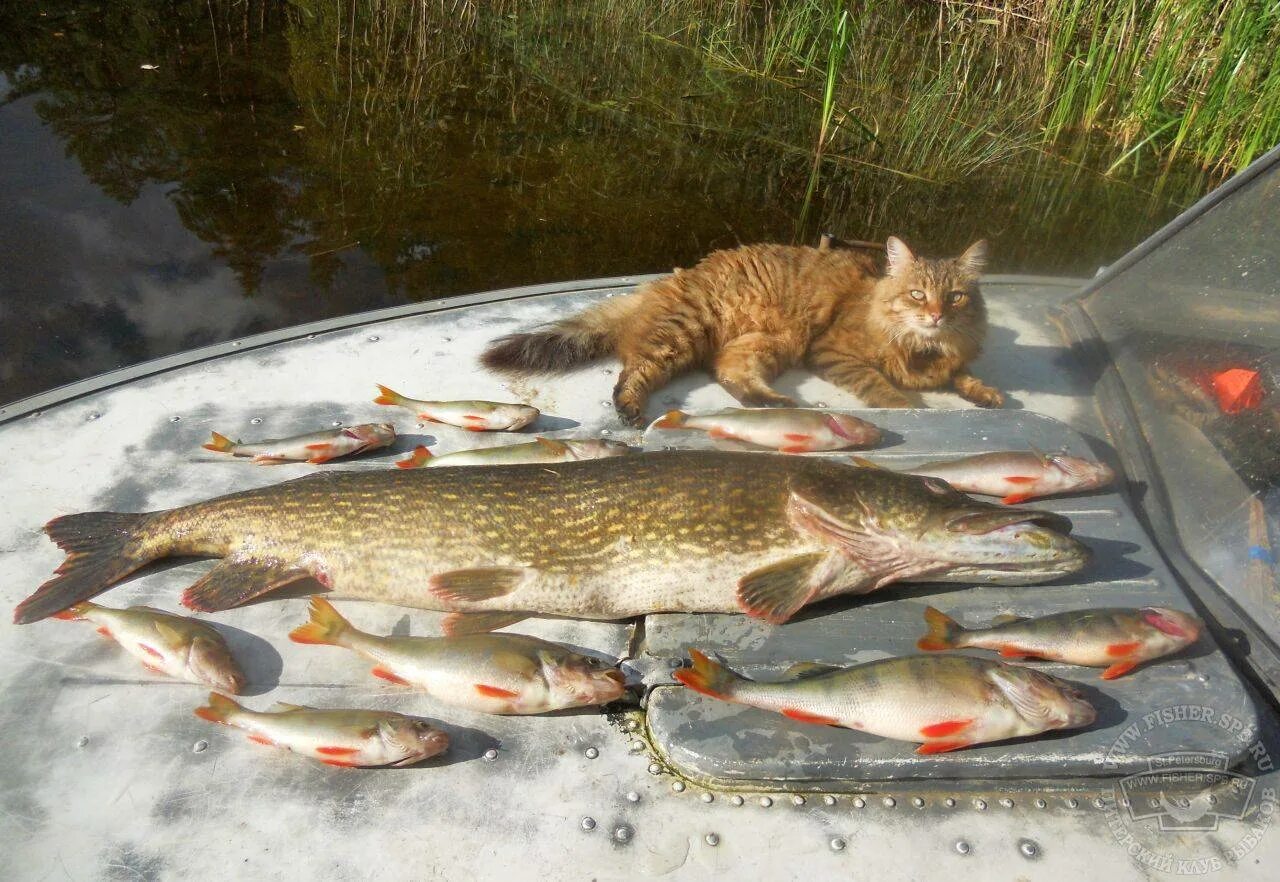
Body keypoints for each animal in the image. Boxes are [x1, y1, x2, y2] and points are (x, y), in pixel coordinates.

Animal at [481, 236, 998, 422]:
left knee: (729, 373)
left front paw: (986, 394)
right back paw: (629, 407)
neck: (923, 347)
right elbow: (883, 387)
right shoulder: (833, 350)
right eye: (917, 295)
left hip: (767, 342)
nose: (937, 315)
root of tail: (676, 276)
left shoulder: (953, 358)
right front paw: (910, 405)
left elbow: (965, 376)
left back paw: (773, 402)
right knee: (636, 369)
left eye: (956, 297)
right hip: (686, 331)